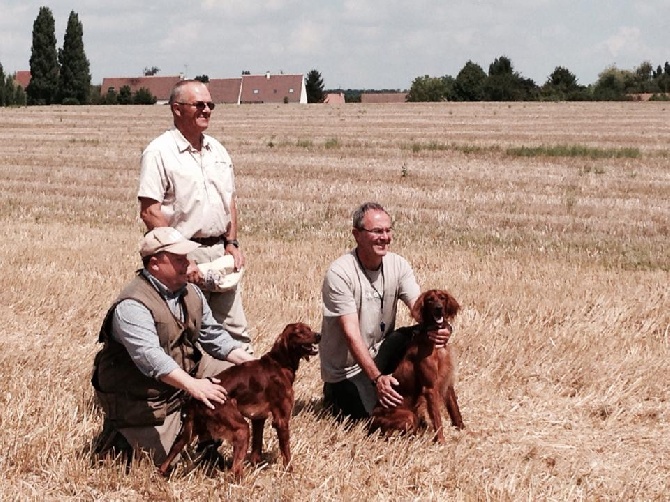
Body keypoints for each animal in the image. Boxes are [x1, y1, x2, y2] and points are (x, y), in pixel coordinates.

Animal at [160, 322, 322, 478]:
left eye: (309, 328)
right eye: (299, 332)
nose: (319, 335)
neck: (280, 363)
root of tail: (197, 398)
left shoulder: (258, 419)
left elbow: (257, 448)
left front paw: (255, 465)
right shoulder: (281, 420)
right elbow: (286, 453)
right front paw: (290, 472)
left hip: (188, 432)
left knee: (168, 458)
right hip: (241, 429)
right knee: (235, 470)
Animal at [370, 288, 464, 442]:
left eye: (442, 298)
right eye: (430, 300)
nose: (438, 308)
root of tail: (371, 418)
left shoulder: (447, 381)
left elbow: (455, 410)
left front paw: (465, 432)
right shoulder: (430, 388)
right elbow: (438, 420)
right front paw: (442, 442)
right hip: (408, 416)